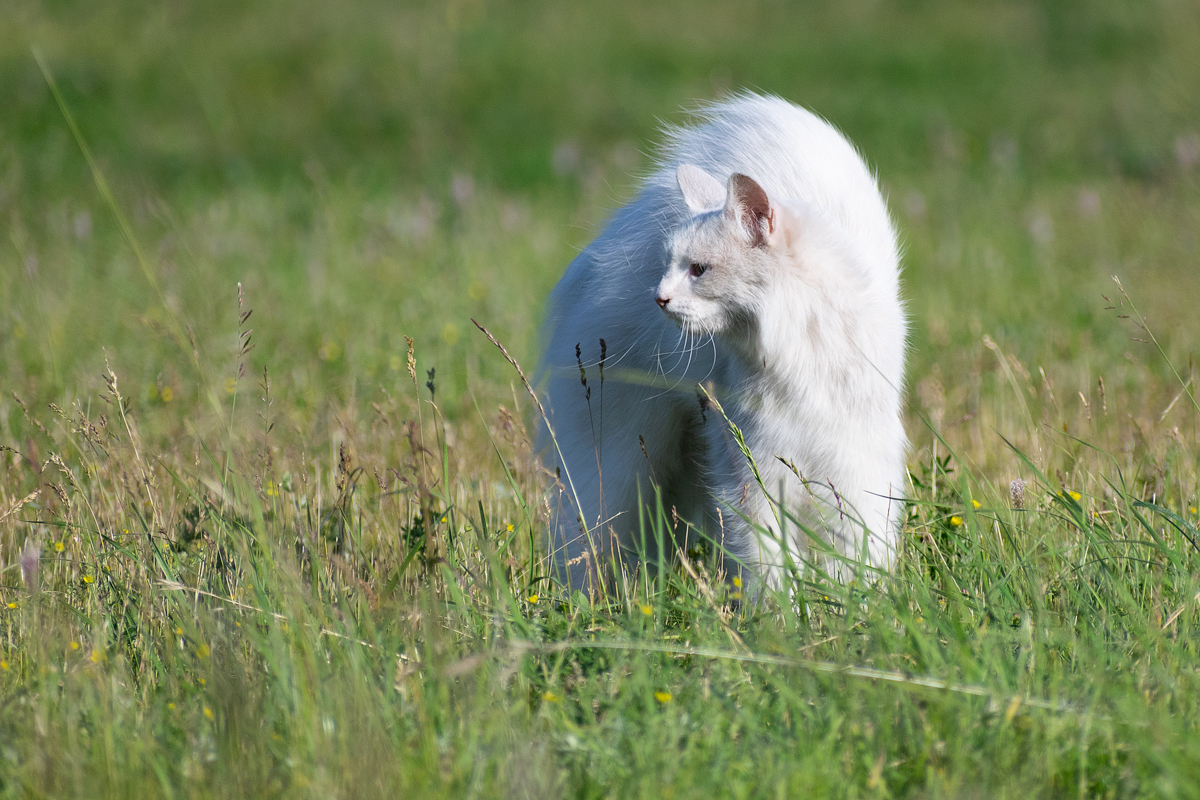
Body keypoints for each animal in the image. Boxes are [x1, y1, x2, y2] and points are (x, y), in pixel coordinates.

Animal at [540, 94, 902, 594]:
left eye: (699, 270)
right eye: (668, 264)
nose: (658, 297)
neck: (799, 356)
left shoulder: (854, 467)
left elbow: (857, 559)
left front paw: (859, 609)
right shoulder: (752, 474)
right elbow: (768, 568)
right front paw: (785, 615)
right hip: (618, 466)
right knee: (582, 545)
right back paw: (586, 607)